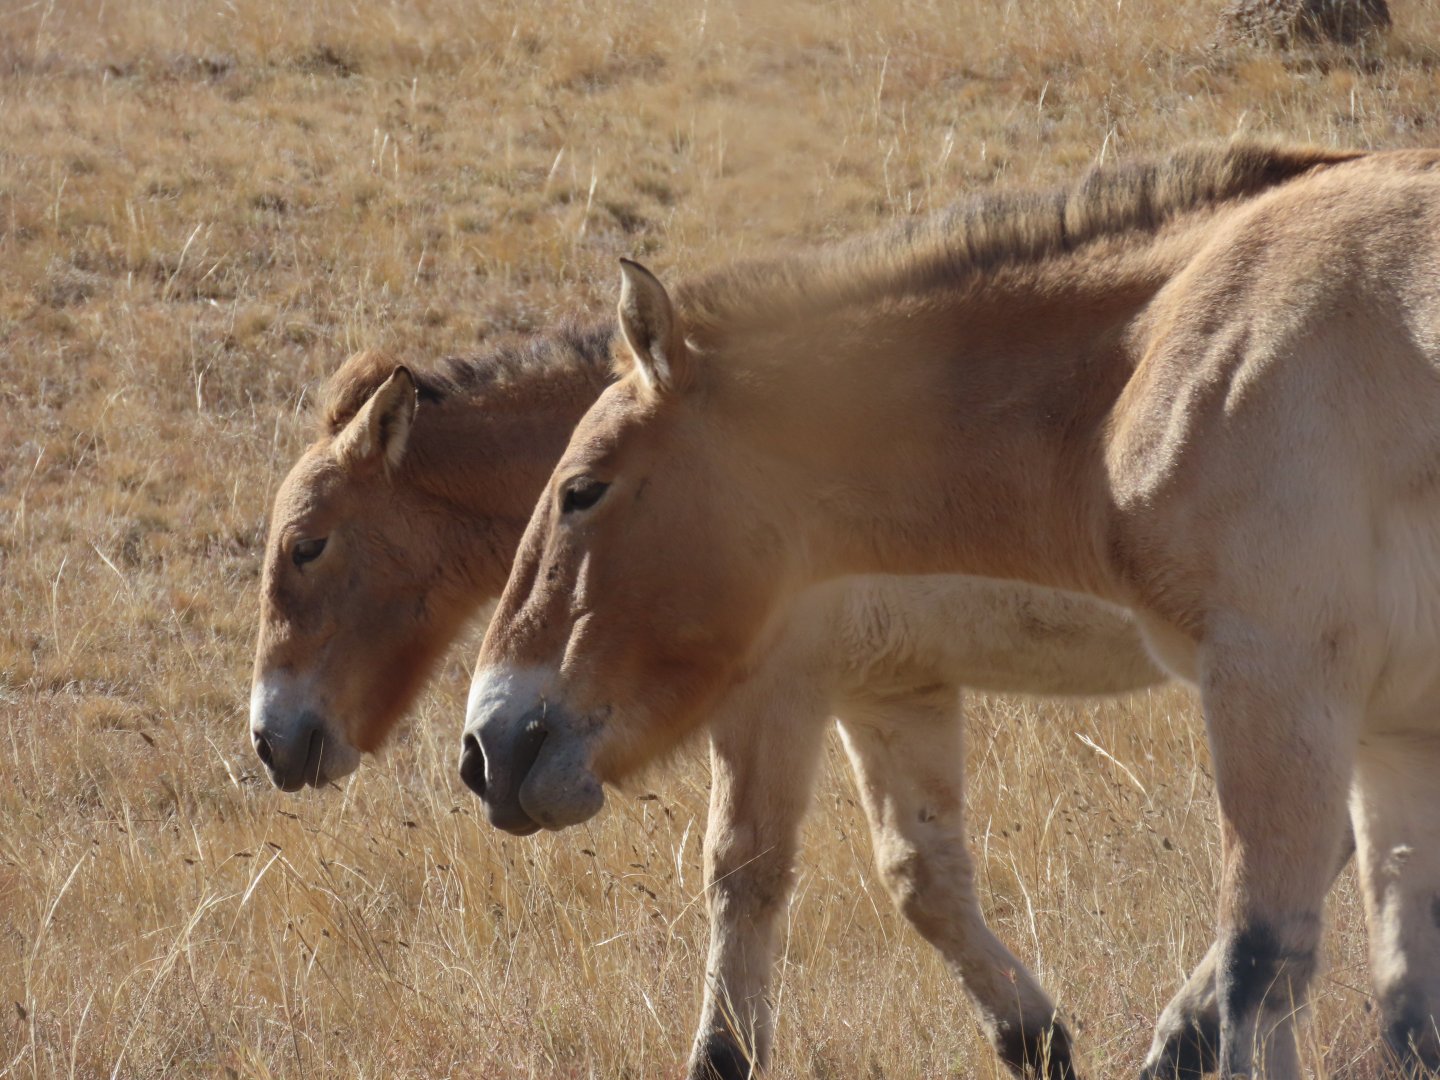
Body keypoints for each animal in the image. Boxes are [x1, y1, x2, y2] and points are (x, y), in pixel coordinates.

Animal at [250, 327, 1177, 1078]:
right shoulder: (886, 690)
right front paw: (1037, 1040)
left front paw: (720, 1054)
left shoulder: (777, 702)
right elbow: (924, 879)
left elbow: (741, 872)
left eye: (307, 545)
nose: (269, 738)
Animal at [465, 142, 1440, 1077]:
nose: (485, 747)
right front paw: (1038, 1039)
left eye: (582, 490)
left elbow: (1262, 964)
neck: (1165, 349)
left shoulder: (1275, 678)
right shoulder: (1391, 731)